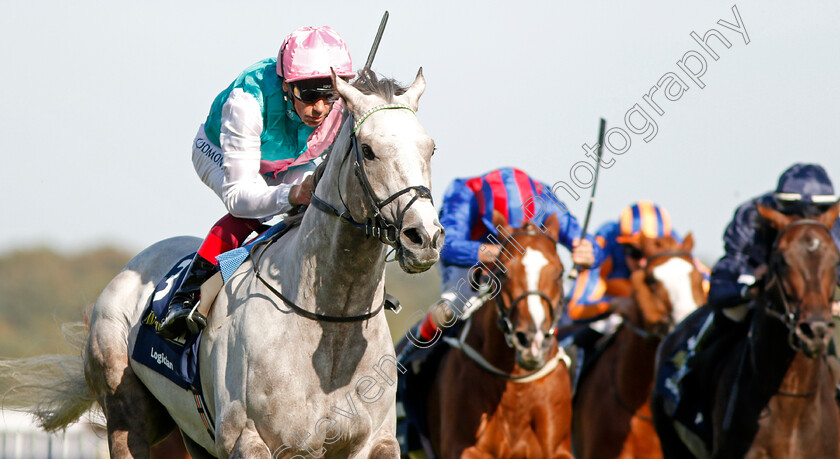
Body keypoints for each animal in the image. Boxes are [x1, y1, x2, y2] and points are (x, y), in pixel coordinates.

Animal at [0, 69, 442, 459]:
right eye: (368, 150)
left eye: (430, 148)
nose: (424, 237)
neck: (328, 321)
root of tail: (131, 266)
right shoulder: (248, 440)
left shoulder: (375, 442)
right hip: (128, 415)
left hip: (194, 436)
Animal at [426, 215, 576, 459]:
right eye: (503, 271)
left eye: (560, 273)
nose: (532, 341)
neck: (515, 383)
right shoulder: (464, 447)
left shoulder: (558, 449)